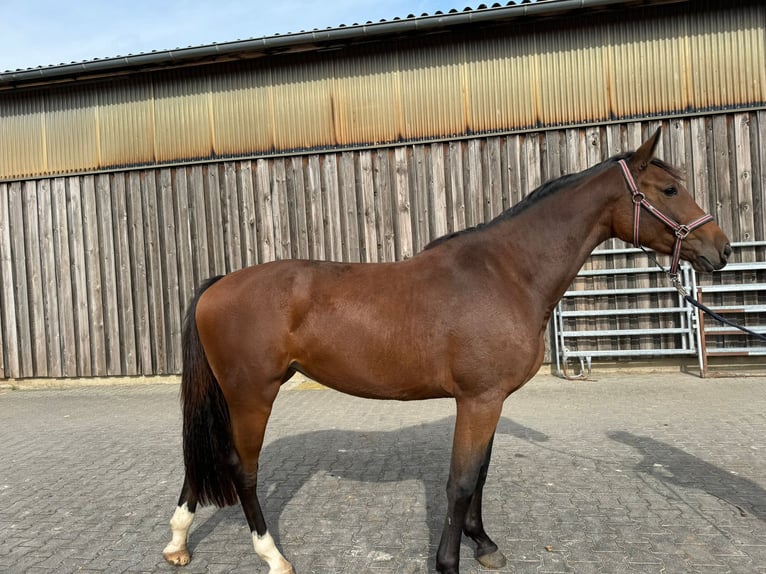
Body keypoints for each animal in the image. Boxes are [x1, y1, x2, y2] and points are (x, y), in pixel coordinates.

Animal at [160, 130, 732, 574]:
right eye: (670, 188)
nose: (721, 249)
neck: (507, 273)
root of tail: (218, 284)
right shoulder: (478, 400)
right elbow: (459, 483)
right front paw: (449, 561)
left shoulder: (491, 400)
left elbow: (479, 475)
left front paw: (485, 544)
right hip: (252, 395)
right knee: (241, 469)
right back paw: (273, 556)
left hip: (229, 395)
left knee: (202, 459)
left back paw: (178, 542)